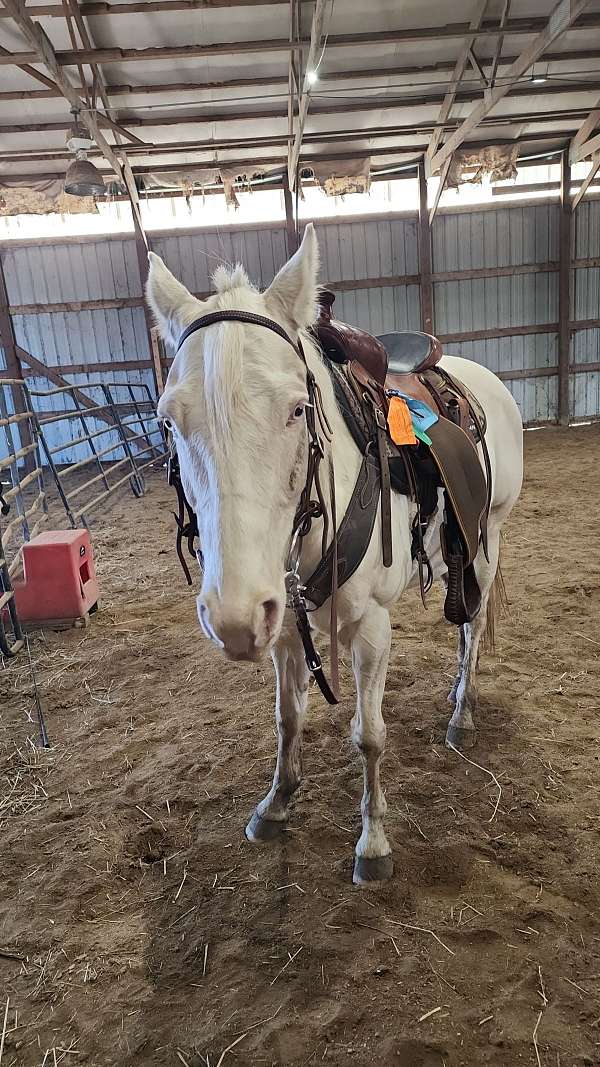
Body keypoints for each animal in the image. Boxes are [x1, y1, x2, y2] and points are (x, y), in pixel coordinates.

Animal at [146, 223, 523, 885]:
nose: (233, 620)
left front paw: (373, 843)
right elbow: (288, 718)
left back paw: (463, 711)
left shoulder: (371, 624)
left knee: (472, 625)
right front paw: (276, 803)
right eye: (170, 421)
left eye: (297, 408)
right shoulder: (285, 622)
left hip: (488, 537)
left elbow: (369, 735)